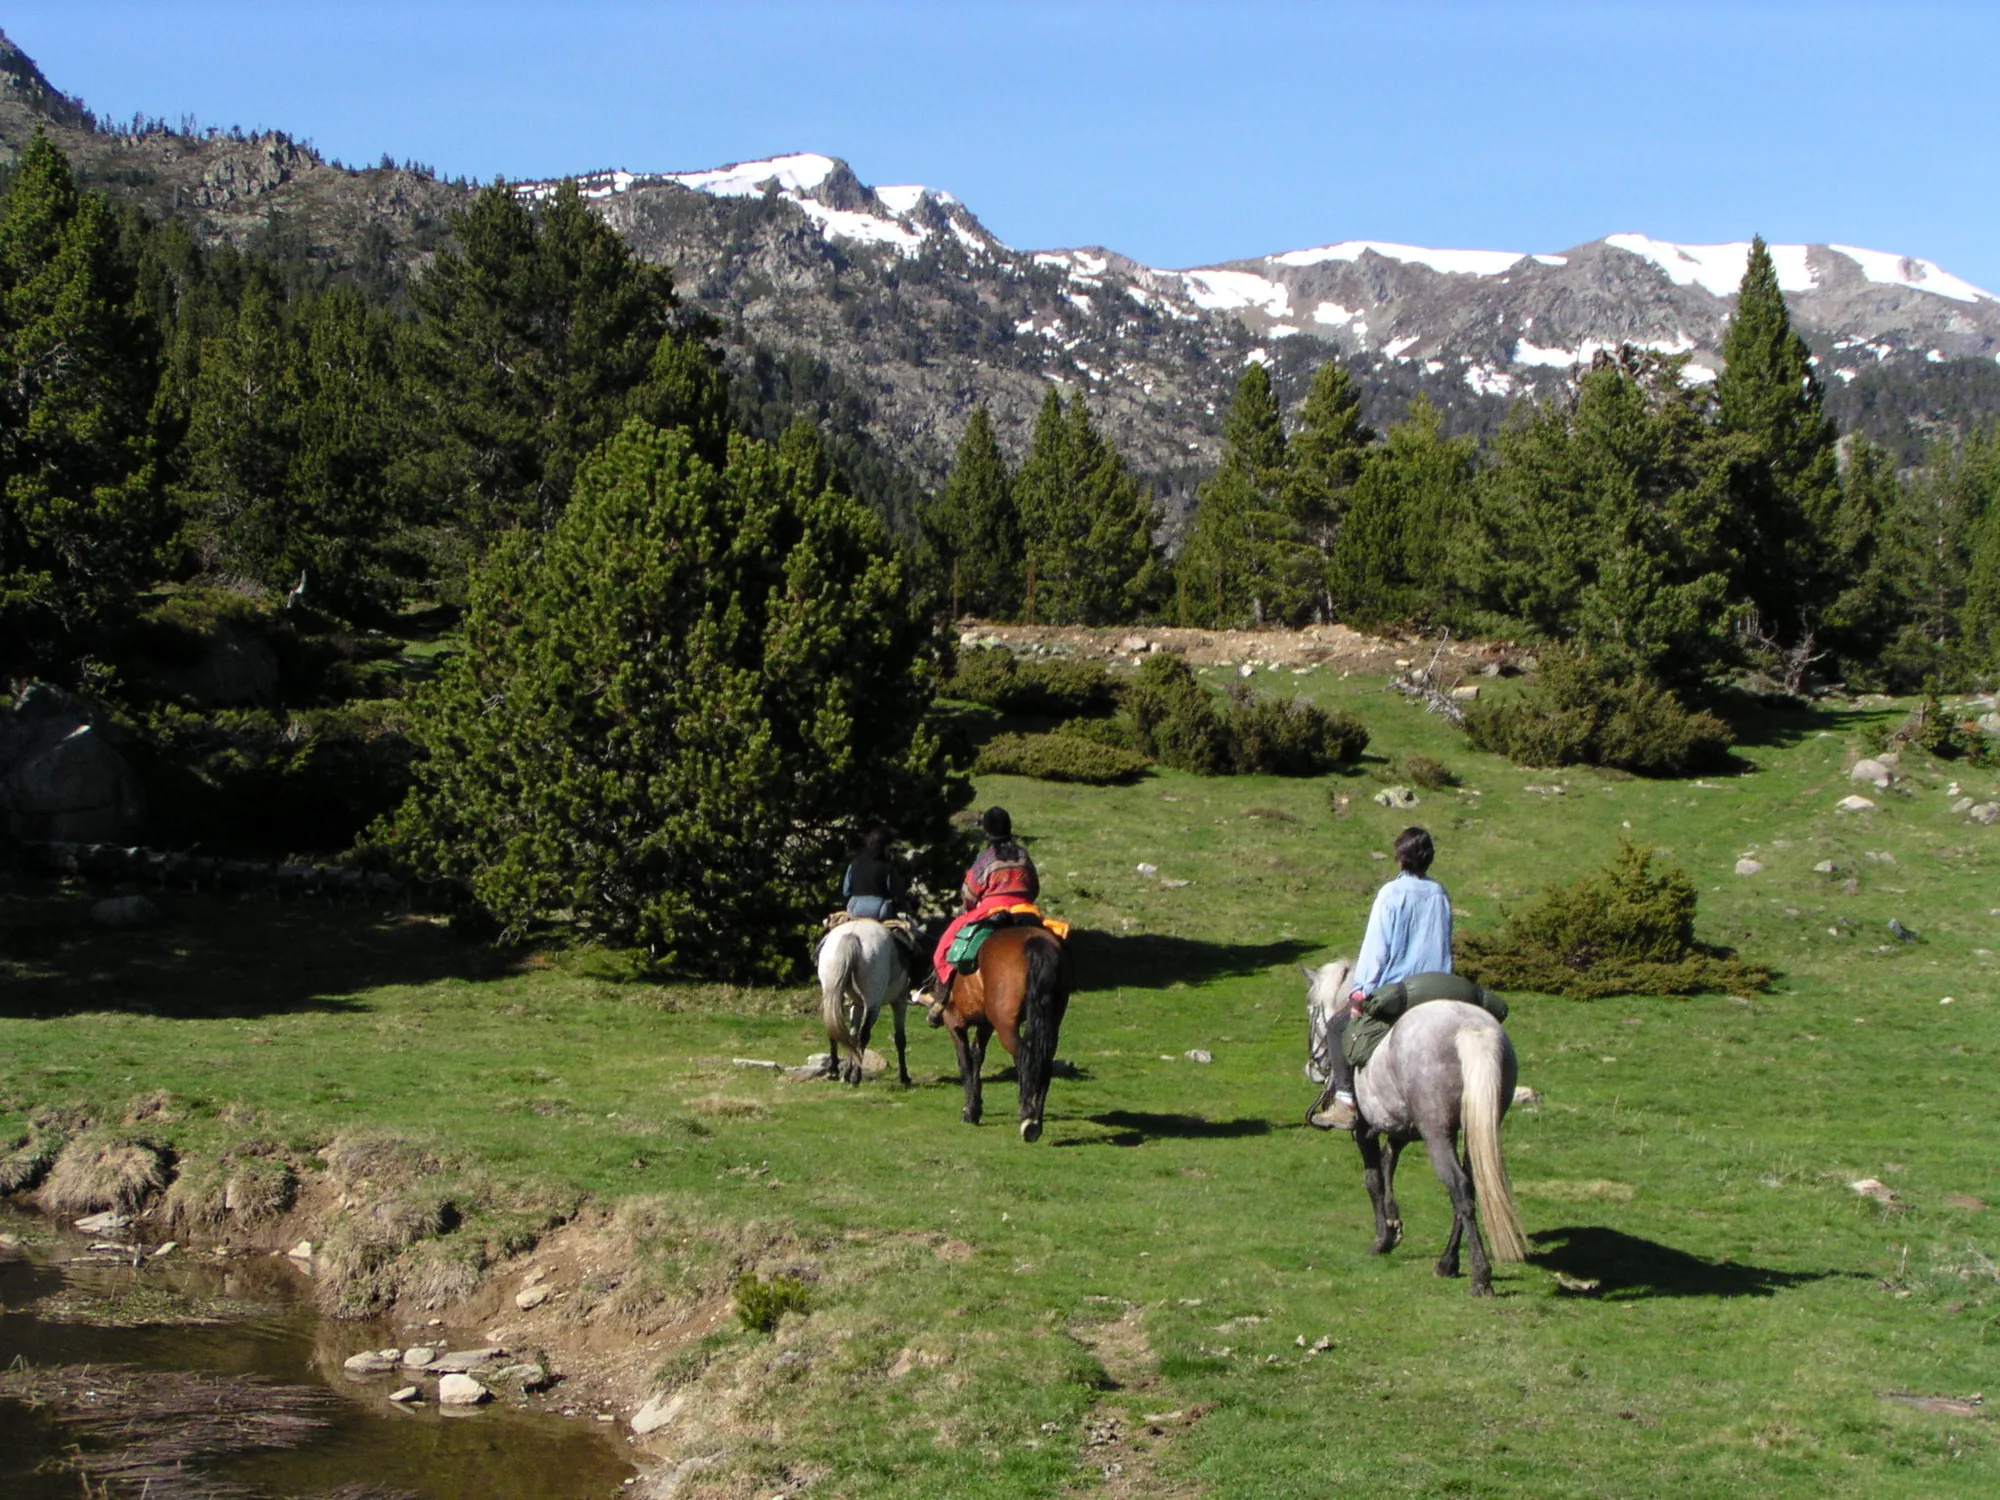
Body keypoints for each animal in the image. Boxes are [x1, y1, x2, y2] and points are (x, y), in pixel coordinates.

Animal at [815, 919, 913, 1086]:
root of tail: (852, 934)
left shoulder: (857, 1005)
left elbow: (851, 1035)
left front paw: (847, 1072)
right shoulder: (900, 1002)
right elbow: (900, 1038)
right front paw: (904, 1077)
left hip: (832, 993)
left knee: (836, 1030)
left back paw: (834, 1071)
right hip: (873, 1003)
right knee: (864, 1034)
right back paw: (857, 1077)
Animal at [925, 924, 1071, 1141]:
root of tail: (1034, 941)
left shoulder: (954, 1022)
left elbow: (965, 1063)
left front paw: (969, 1111)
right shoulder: (986, 1024)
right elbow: (977, 1055)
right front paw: (976, 1108)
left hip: (1006, 1026)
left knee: (1025, 1058)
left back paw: (1027, 1119)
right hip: (1051, 1022)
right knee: (1044, 1062)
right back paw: (1037, 1120)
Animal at [1302, 959, 1527, 1296]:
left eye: (1310, 1009)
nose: (1312, 1068)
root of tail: (1468, 1028)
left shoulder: (1364, 1129)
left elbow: (1373, 1178)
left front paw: (1382, 1240)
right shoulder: (1401, 1129)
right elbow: (1388, 1163)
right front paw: (1394, 1226)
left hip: (1436, 1133)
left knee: (1459, 1188)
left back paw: (1478, 1275)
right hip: (1473, 1128)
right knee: (1471, 1185)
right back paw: (1448, 1262)